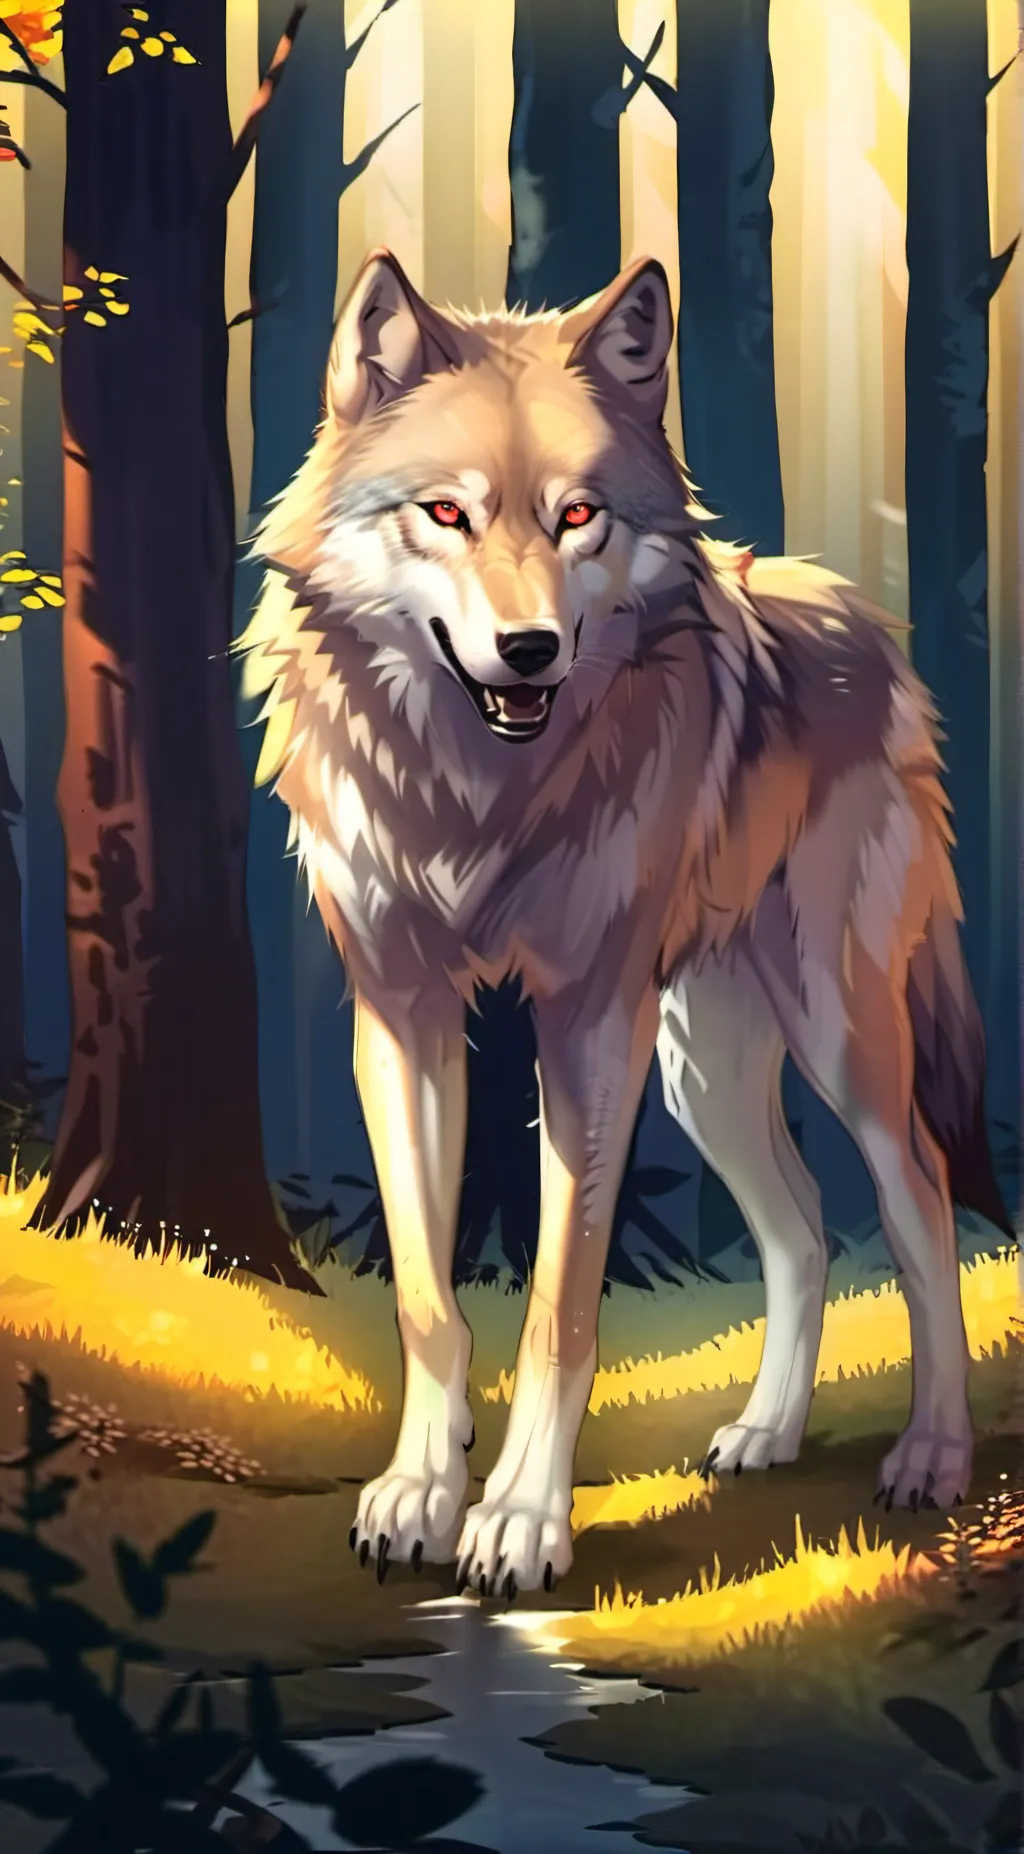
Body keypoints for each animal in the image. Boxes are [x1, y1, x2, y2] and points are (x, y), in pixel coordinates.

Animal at [239, 248, 1012, 1596]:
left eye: (577, 516)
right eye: (446, 514)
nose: (529, 648)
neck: (474, 796)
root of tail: (862, 621)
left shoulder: (590, 1022)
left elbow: (559, 1306)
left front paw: (518, 1522)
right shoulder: (401, 1015)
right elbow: (427, 1300)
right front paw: (418, 1491)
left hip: (836, 1038)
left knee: (917, 1206)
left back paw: (930, 1457)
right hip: (706, 1071)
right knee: (804, 1230)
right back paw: (763, 1433)